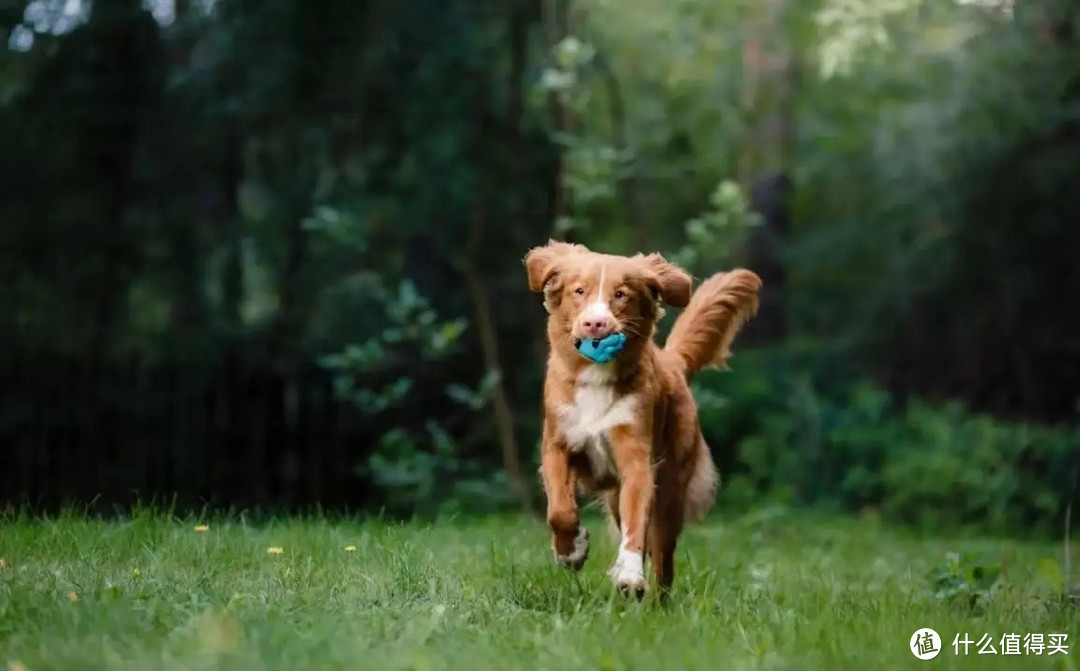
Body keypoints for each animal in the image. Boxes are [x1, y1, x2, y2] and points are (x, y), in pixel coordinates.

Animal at [522, 240, 760, 596]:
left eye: (621, 294)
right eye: (579, 291)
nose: (596, 324)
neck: (597, 379)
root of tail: (673, 361)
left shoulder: (636, 458)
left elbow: (636, 523)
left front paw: (629, 574)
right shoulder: (557, 445)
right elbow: (560, 511)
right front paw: (572, 550)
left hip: (672, 488)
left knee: (662, 558)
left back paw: (656, 599)